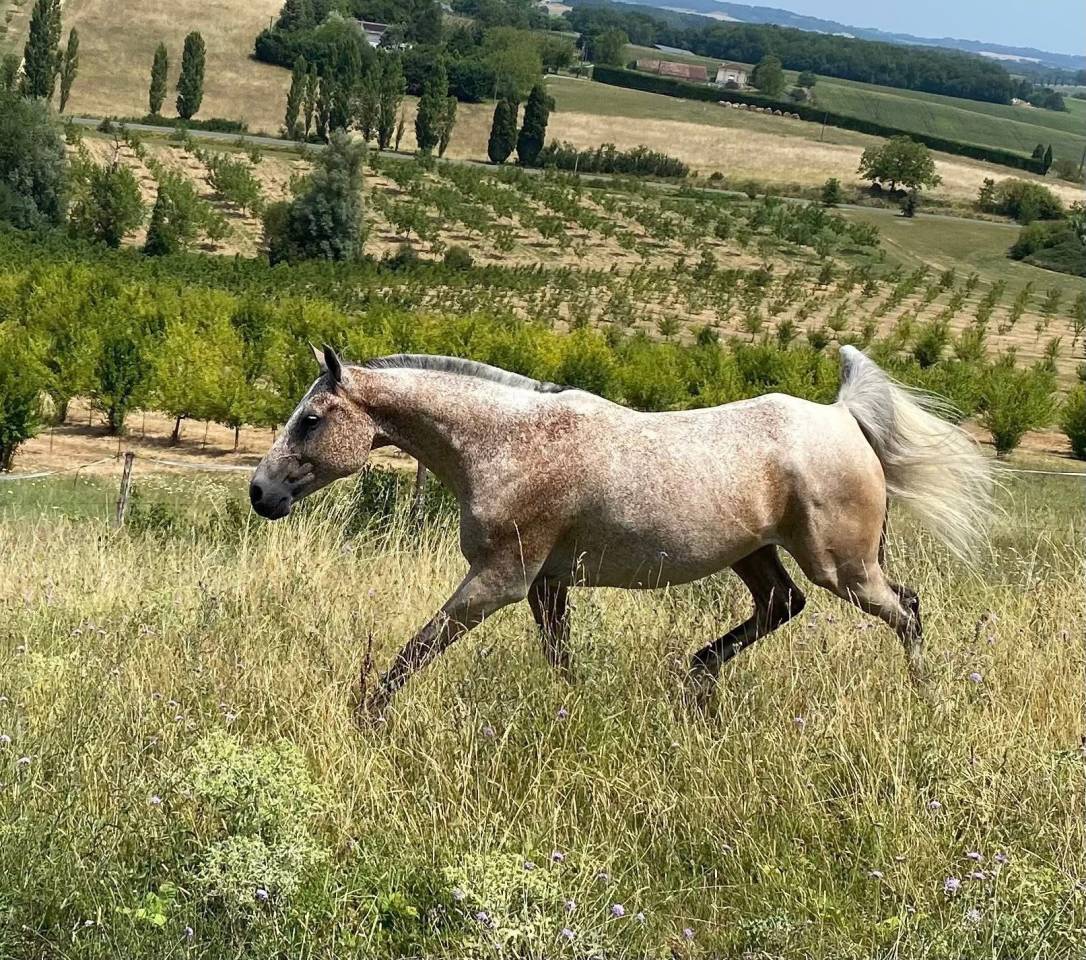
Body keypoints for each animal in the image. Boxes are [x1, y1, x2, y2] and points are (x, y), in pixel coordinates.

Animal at [249, 345, 993, 718]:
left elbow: (421, 646)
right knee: (783, 605)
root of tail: (845, 419)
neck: (505, 444)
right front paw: (581, 709)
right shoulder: (546, 583)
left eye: (310, 419)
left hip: (843, 564)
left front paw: (366, 714)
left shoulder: (500, 579)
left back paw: (927, 700)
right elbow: (560, 658)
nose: (261, 492)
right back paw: (696, 680)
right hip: (756, 555)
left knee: (906, 608)